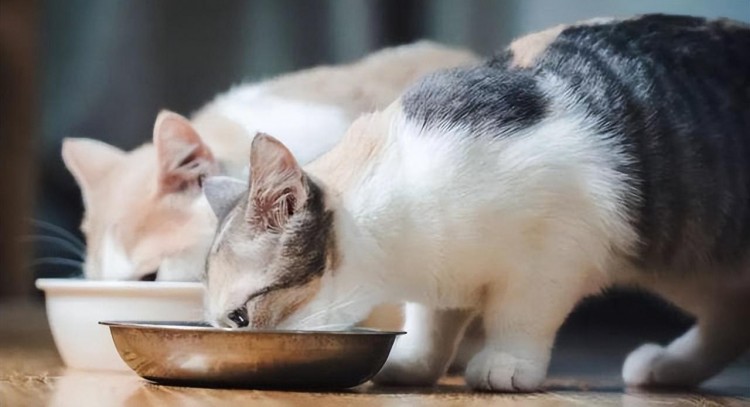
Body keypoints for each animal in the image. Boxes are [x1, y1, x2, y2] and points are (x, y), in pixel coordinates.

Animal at [204, 14, 750, 394]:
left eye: (240, 318)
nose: (228, 338)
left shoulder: (556, 253)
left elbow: (522, 312)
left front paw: (507, 363)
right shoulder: (441, 278)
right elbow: (432, 321)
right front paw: (417, 362)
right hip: (683, 259)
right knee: (731, 315)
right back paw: (668, 366)